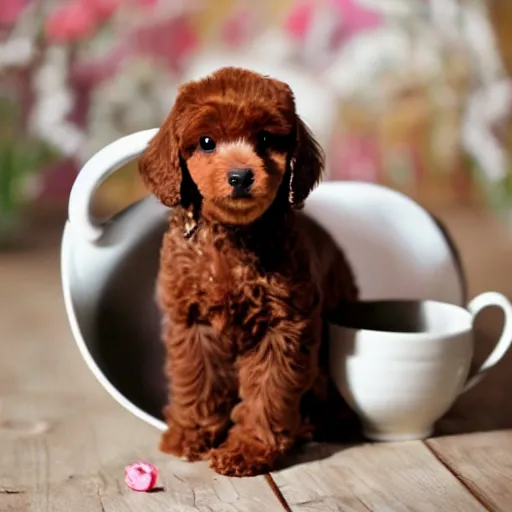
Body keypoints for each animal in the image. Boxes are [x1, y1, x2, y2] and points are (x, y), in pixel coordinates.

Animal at [138, 66, 358, 478]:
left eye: (266, 139)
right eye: (207, 142)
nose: (240, 176)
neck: (233, 233)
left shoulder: (283, 325)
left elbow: (268, 391)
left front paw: (248, 450)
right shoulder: (192, 321)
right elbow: (197, 379)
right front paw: (190, 434)